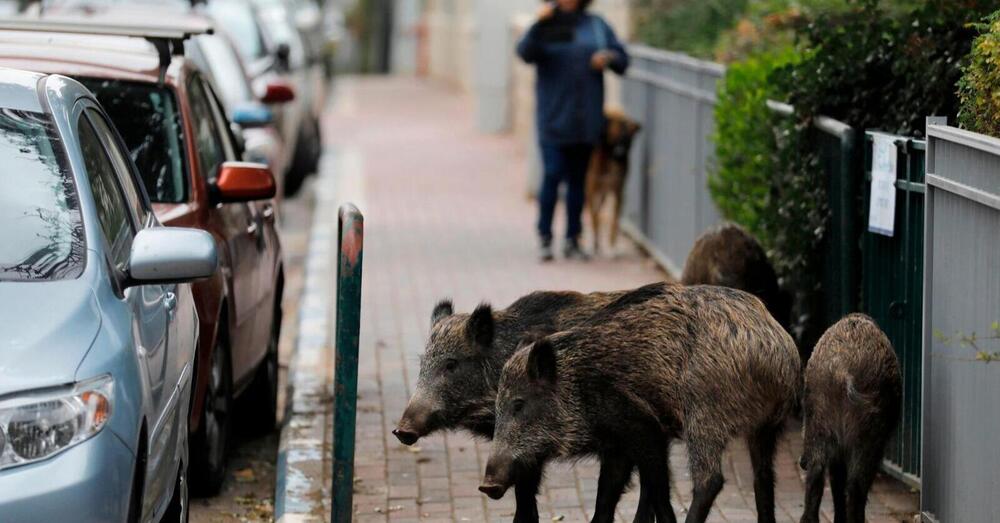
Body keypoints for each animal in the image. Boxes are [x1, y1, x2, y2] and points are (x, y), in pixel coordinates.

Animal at [584, 110, 640, 254]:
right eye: (615, 137)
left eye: (628, 140)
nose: (621, 155)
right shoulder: (591, 191)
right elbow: (595, 218)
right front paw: (596, 243)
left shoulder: (618, 193)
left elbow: (615, 220)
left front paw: (611, 245)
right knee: (590, 213)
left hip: (604, 194)